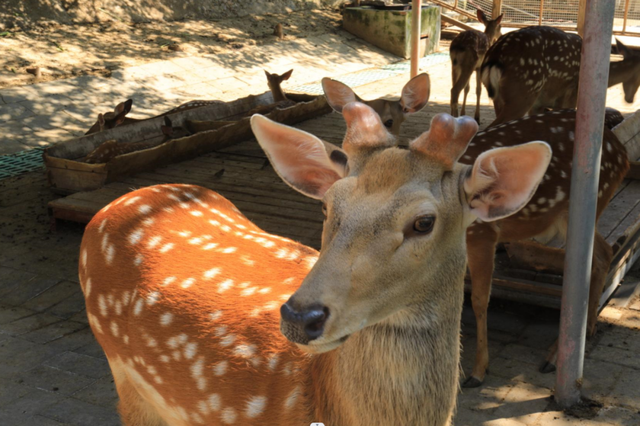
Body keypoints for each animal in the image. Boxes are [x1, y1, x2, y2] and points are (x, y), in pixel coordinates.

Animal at [79, 101, 552, 424]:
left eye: (423, 222)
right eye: (327, 206)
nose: (299, 316)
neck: (319, 400)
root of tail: (118, 202)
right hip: (125, 377)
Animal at [456, 109, 632, 386]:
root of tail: (622, 153)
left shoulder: (481, 234)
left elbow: (478, 300)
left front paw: (477, 371)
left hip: (580, 209)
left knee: (596, 259)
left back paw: (556, 357)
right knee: (604, 253)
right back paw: (588, 330)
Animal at [480, 26, 640, 125]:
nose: (630, 100)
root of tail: (494, 56)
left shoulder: (540, 105)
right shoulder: (571, 96)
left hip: (500, 98)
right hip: (524, 91)